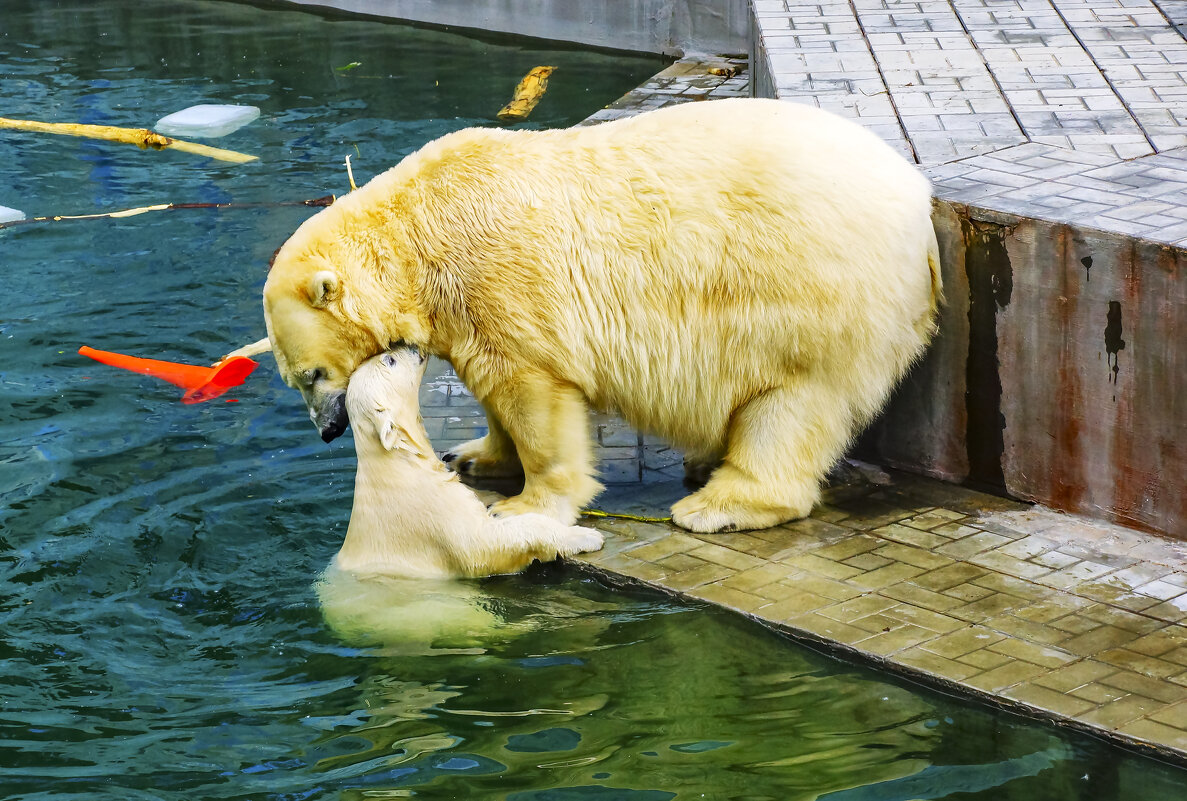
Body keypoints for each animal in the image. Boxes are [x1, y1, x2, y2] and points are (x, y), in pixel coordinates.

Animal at [257, 98, 935, 531]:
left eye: (311, 375)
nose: (328, 431)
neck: (416, 235)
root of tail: (918, 201)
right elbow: (491, 388)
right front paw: (474, 456)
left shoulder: (500, 276)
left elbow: (532, 392)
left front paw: (523, 507)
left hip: (807, 291)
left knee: (792, 401)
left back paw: (717, 505)